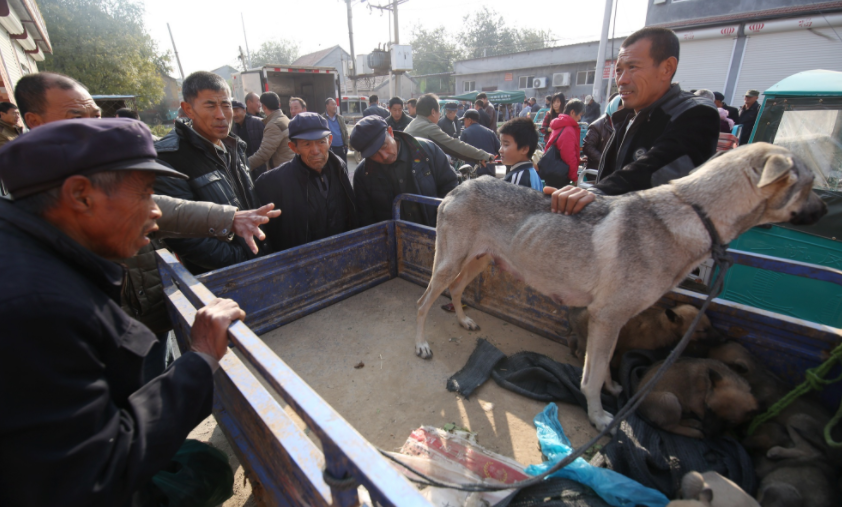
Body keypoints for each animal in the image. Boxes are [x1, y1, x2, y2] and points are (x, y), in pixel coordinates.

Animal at [416, 143, 824, 432]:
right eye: (809, 185)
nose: (824, 211)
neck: (697, 216)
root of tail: (461, 185)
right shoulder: (607, 317)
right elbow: (591, 376)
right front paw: (599, 417)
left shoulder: (612, 322)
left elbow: (607, 364)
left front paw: (613, 390)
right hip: (450, 264)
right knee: (423, 302)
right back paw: (421, 344)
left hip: (479, 262)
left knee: (456, 291)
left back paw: (464, 321)